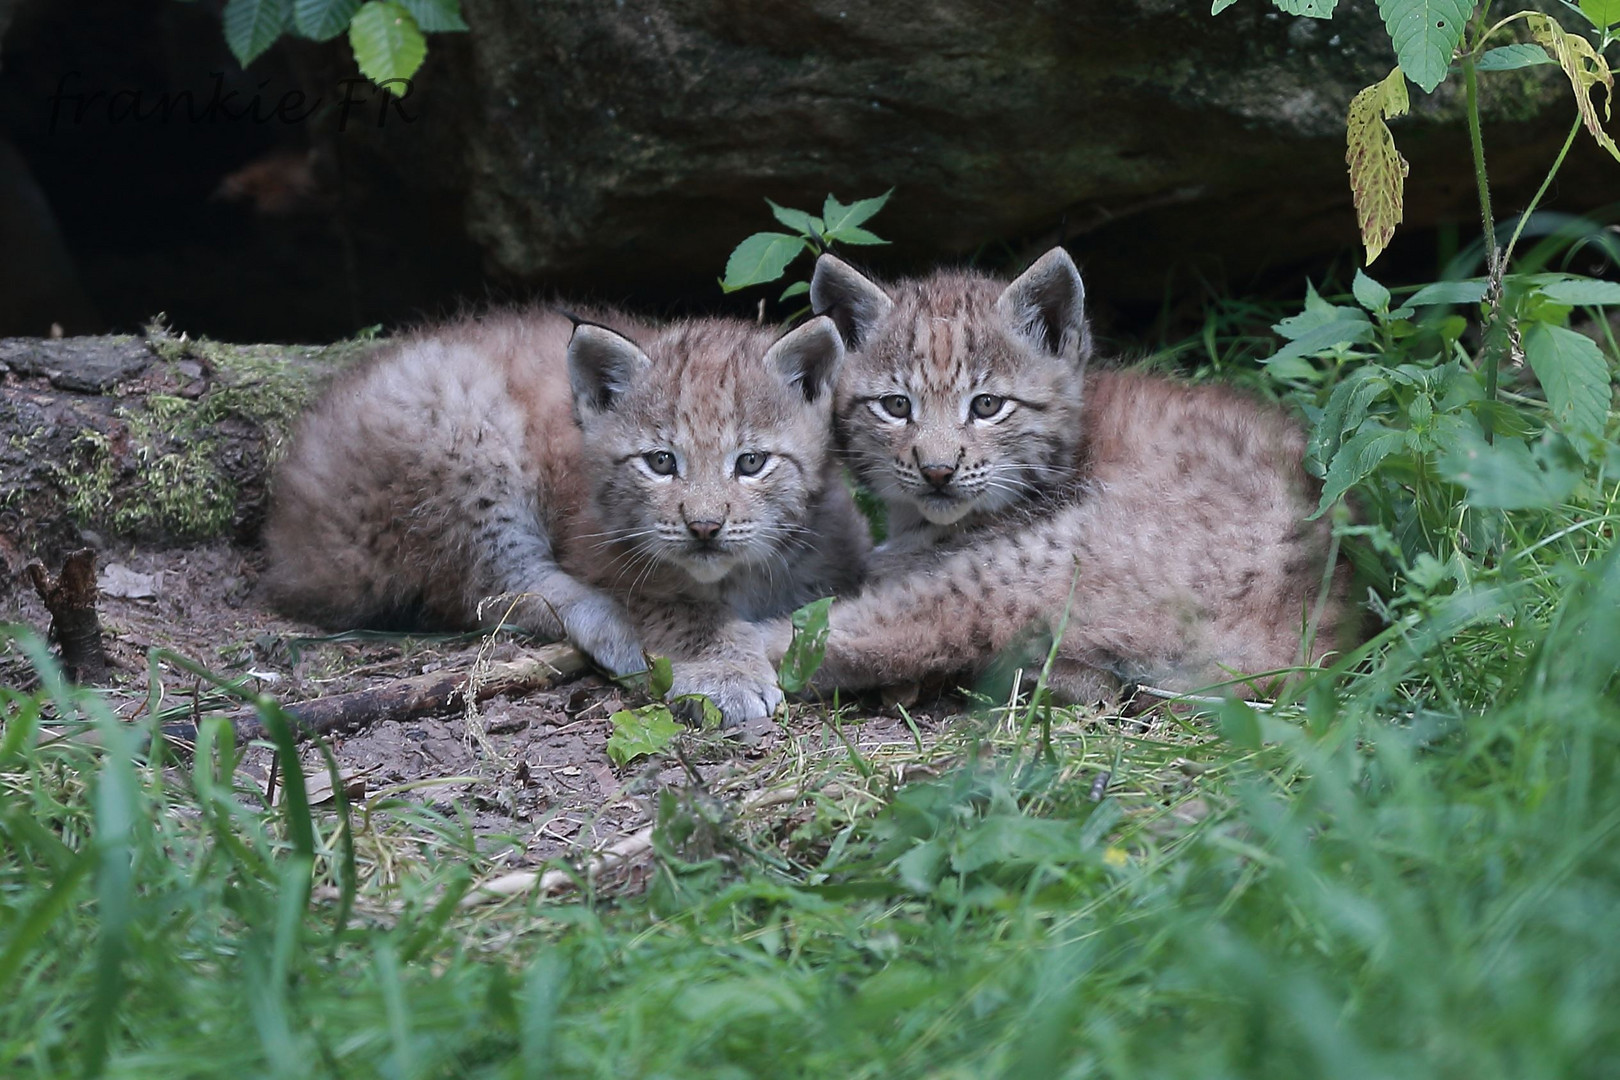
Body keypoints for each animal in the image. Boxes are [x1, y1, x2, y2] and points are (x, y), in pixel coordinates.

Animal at [265, 307, 868, 722]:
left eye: (751, 463)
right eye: (660, 462)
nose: (703, 527)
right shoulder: (604, 550)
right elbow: (676, 604)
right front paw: (725, 671)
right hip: (461, 418)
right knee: (494, 590)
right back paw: (615, 630)